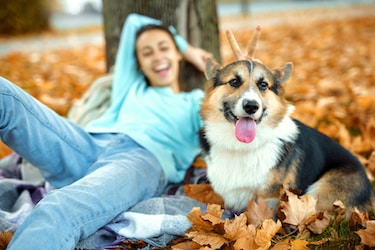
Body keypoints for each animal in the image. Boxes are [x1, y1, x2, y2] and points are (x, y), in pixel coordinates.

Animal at [201, 26, 374, 215]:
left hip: (320, 192)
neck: (241, 147)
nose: (251, 106)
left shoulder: (268, 197)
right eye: (234, 81)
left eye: (263, 85)